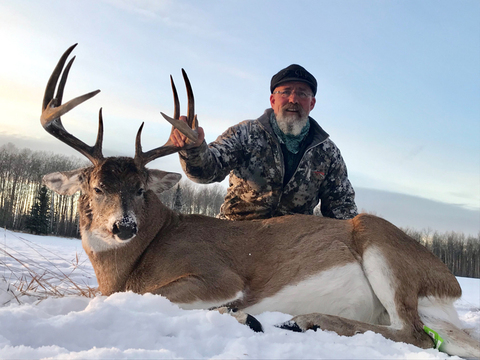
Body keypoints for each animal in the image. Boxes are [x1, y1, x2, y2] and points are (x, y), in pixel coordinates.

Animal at [42, 45, 480, 358]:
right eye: (96, 188)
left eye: (140, 189)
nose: (123, 226)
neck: (138, 258)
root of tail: (452, 284)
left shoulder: (218, 276)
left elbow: (156, 295)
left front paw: (238, 315)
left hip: (380, 243)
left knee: (416, 334)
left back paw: (303, 320)